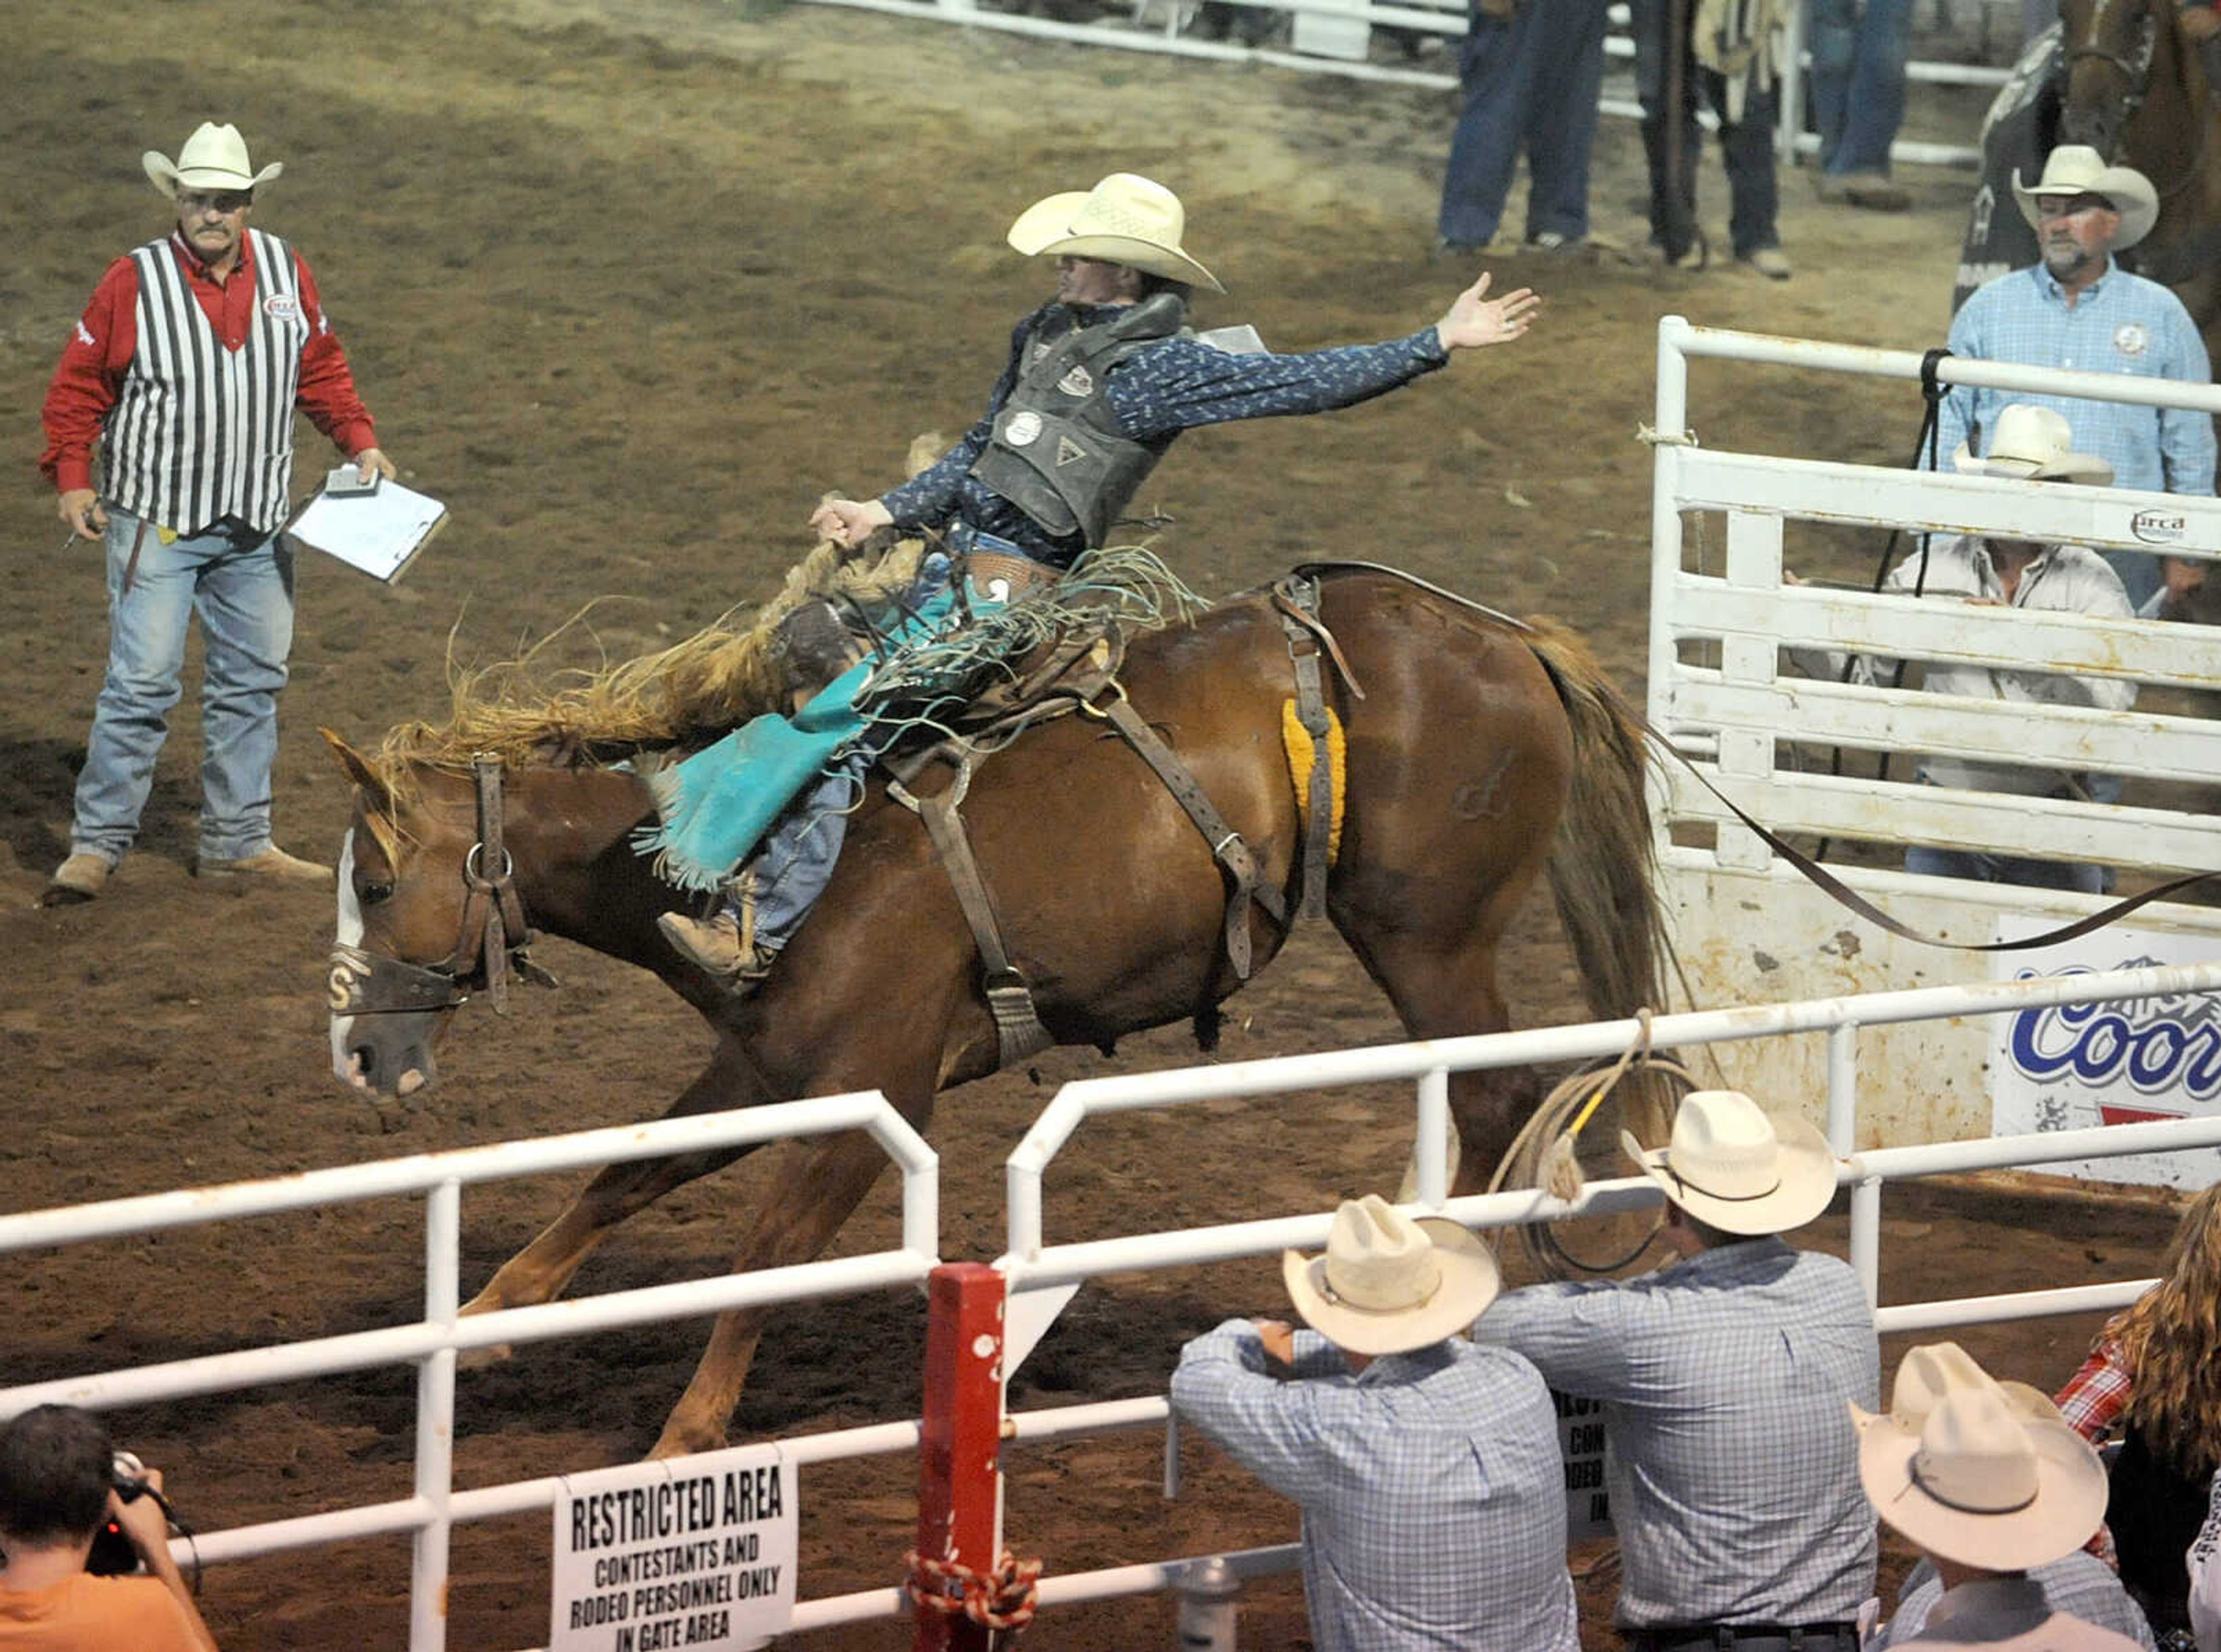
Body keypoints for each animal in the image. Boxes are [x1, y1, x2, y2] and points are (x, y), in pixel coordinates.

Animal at [322, 573, 1661, 1456]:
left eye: (377, 883)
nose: (361, 1052)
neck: (742, 873)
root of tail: (1507, 637)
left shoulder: (871, 1097)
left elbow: (762, 1263)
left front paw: (681, 1441)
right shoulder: (763, 1066)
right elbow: (624, 1178)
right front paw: (482, 1323)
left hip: (1426, 937)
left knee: (1490, 1094)